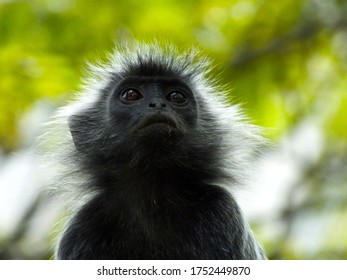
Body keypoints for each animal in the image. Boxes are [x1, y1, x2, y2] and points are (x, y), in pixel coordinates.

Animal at [43, 41, 266, 260]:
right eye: (131, 94)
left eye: (176, 96)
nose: (157, 104)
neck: (153, 194)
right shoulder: (81, 229)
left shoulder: (224, 213)